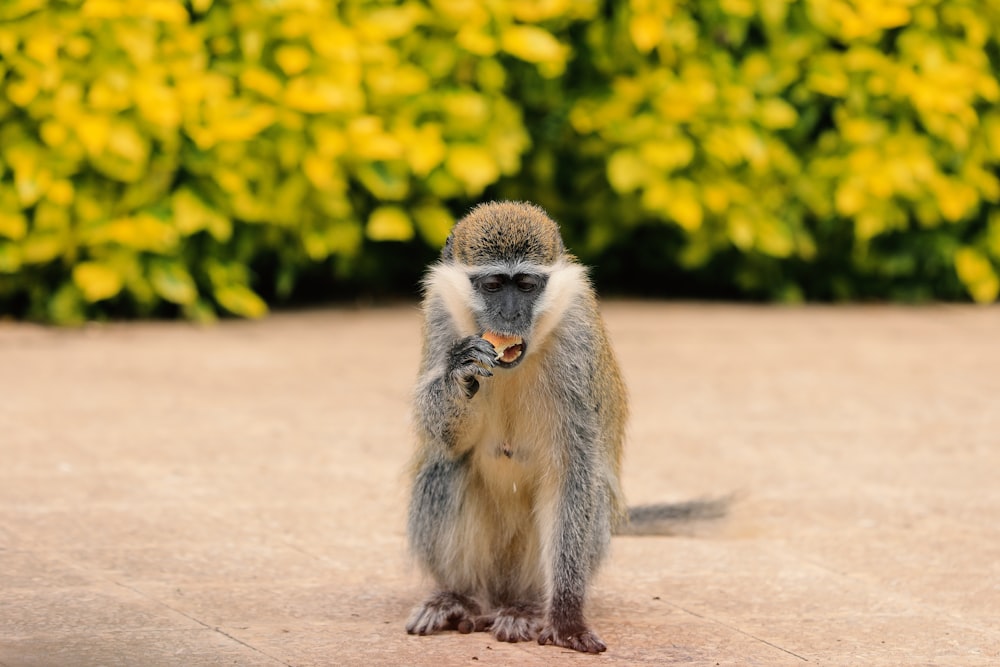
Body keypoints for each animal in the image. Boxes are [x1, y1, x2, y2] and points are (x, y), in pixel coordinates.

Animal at [406, 201, 728, 656]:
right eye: (493, 285)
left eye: (526, 285)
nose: (510, 315)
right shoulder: (439, 313)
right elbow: (447, 438)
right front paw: (458, 372)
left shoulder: (577, 339)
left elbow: (573, 471)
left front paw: (566, 617)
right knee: (444, 466)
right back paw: (459, 598)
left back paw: (525, 608)